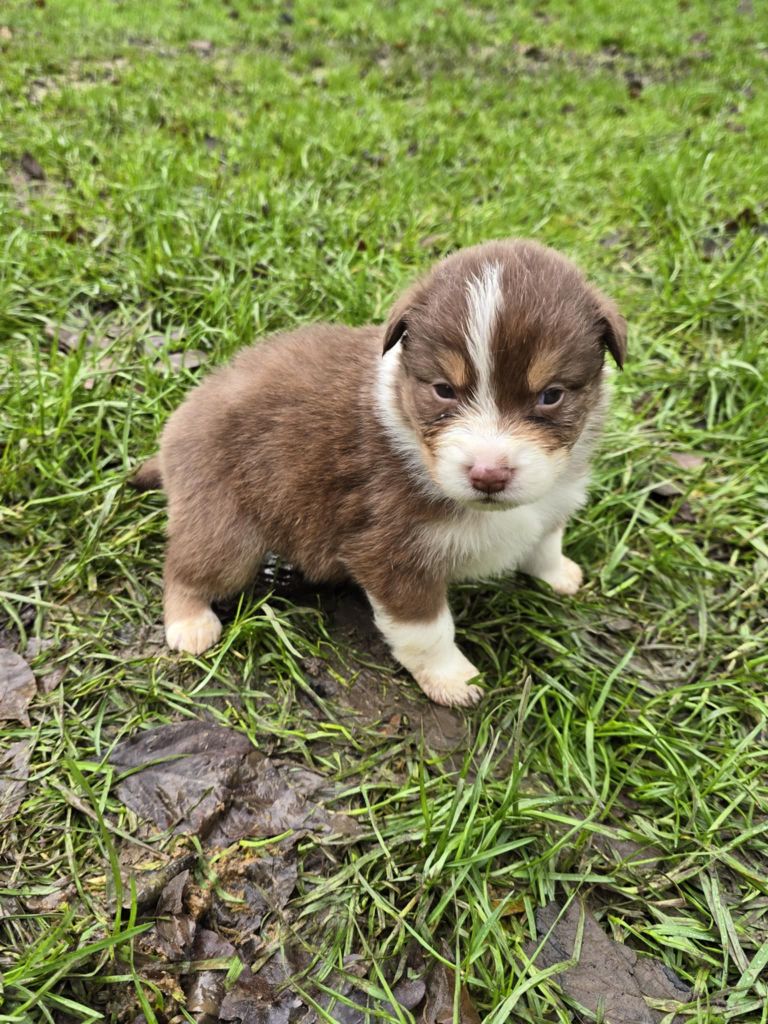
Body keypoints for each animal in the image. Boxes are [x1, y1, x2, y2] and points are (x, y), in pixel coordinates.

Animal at [132, 238, 626, 704]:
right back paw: (190, 623)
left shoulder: (554, 499)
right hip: (227, 528)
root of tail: (181, 418)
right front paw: (451, 679)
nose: (488, 475)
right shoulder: (392, 554)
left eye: (551, 395)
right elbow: (428, 630)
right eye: (443, 390)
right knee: (186, 566)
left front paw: (558, 573)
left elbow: (545, 539)